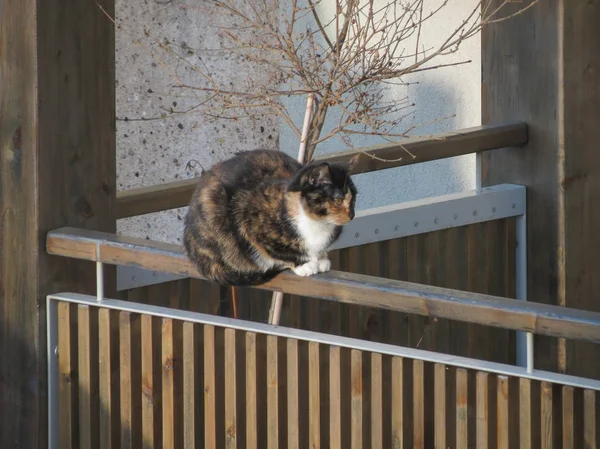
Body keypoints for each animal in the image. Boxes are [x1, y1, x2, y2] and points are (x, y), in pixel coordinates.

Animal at [184, 149, 356, 286]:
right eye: (338, 200)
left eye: (353, 199)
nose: (352, 215)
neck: (317, 223)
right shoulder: (248, 222)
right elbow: (276, 250)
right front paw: (303, 265)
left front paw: (321, 259)